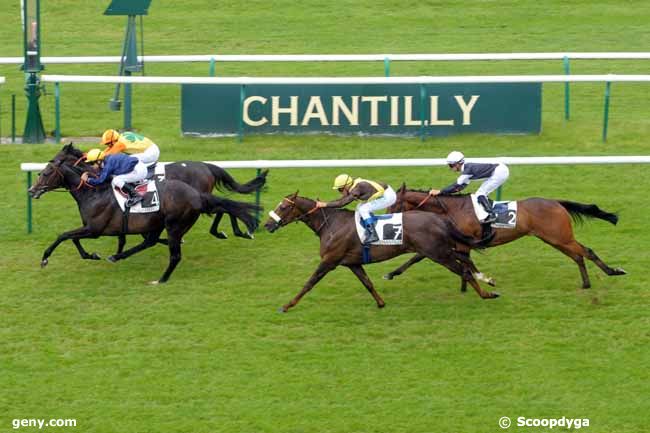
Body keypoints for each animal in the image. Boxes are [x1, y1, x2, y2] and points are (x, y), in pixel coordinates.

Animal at [27, 143, 260, 282]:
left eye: (46, 173)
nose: (31, 190)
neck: (94, 191)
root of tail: (206, 166)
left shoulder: (94, 229)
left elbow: (64, 235)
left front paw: (45, 259)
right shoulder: (98, 227)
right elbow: (74, 238)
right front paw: (92, 255)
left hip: (178, 219)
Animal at [264, 192, 496, 310]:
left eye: (283, 207)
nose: (267, 225)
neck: (331, 225)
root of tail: (439, 218)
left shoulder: (329, 261)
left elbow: (309, 283)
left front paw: (287, 305)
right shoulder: (352, 263)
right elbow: (367, 283)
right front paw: (381, 303)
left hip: (437, 253)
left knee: (463, 269)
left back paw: (486, 293)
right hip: (440, 250)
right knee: (464, 258)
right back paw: (486, 279)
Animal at [384, 184, 624, 288]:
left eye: (394, 204)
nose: (387, 219)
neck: (451, 209)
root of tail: (556, 202)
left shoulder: (464, 243)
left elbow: (465, 262)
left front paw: (481, 281)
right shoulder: (451, 241)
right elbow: (417, 257)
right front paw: (392, 273)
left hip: (559, 237)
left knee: (586, 252)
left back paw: (613, 271)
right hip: (555, 239)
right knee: (578, 255)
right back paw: (587, 283)